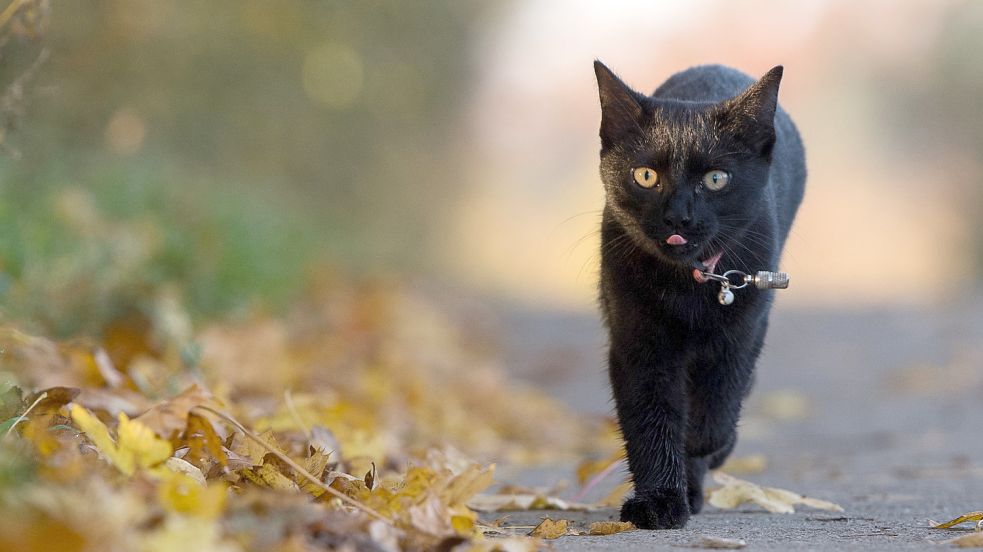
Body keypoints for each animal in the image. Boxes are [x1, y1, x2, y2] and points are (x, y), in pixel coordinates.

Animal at [592, 61, 808, 532]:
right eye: (646, 176)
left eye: (715, 179)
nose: (678, 216)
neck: (687, 284)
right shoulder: (639, 343)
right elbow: (651, 419)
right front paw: (659, 502)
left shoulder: (741, 333)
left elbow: (716, 409)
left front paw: (702, 446)